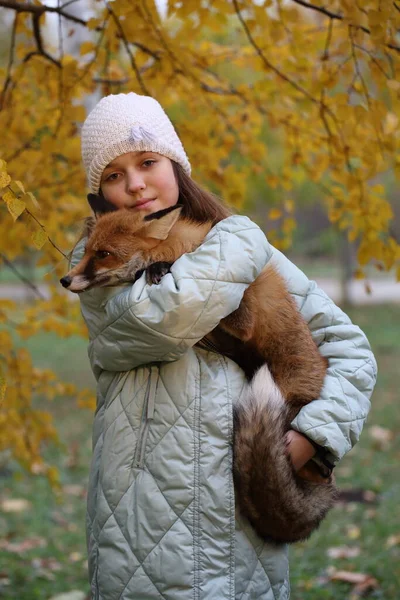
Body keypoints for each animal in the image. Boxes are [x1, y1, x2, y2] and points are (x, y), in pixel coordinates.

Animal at [62, 204, 338, 540]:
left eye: (103, 254)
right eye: (87, 250)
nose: (64, 279)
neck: (182, 247)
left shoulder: (243, 317)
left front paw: (156, 269)